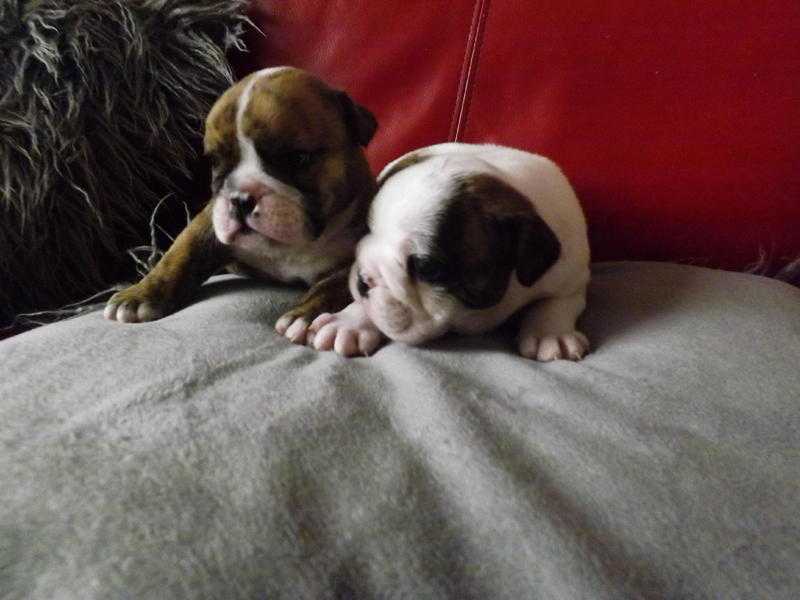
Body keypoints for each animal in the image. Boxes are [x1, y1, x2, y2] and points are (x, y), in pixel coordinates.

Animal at [104, 68, 376, 338]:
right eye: (215, 162)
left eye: (298, 158)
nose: (240, 199)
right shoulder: (208, 223)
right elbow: (179, 255)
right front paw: (140, 295)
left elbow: (333, 286)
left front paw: (305, 315)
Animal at [304, 144, 592, 360]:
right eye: (365, 230)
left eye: (427, 269)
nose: (363, 280)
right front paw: (350, 321)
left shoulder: (573, 276)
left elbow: (556, 302)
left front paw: (549, 332)